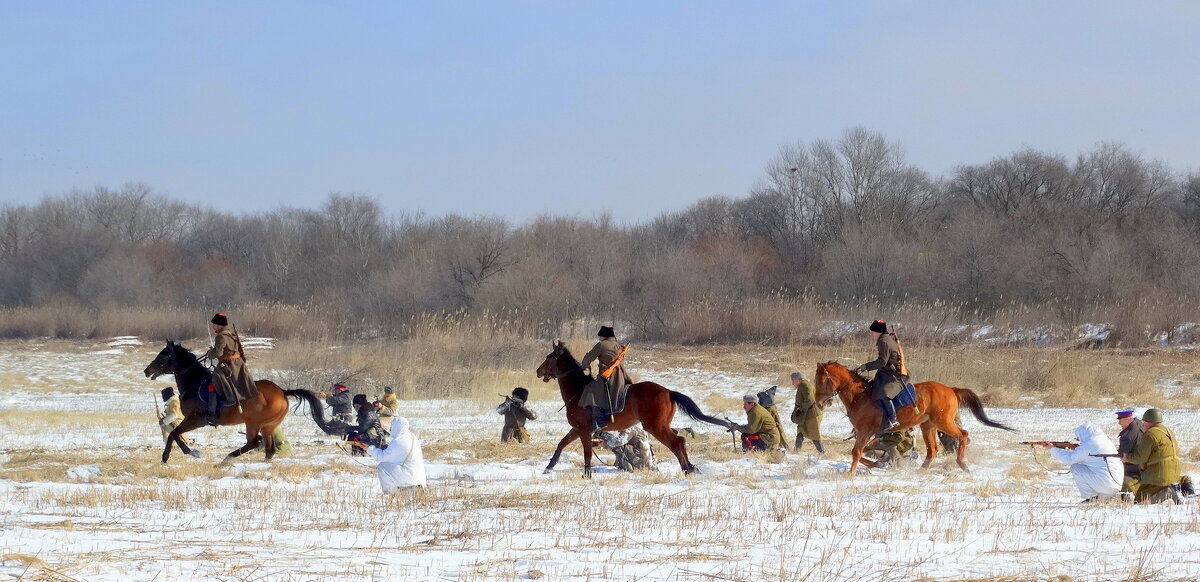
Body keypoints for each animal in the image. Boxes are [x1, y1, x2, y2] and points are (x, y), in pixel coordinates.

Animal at [146, 340, 343, 463]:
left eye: (164, 355)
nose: (146, 371)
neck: (194, 383)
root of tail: (282, 391)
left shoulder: (196, 420)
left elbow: (174, 434)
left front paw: (179, 454)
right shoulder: (191, 420)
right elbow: (175, 434)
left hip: (253, 423)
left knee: (254, 443)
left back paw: (227, 458)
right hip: (269, 426)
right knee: (269, 448)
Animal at [537, 340, 729, 477]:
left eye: (548, 358)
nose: (538, 371)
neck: (578, 390)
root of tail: (668, 392)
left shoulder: (583, 430)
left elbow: (587, 453)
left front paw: (587, 475)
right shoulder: (577, 429)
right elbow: (562, 443)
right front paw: (548, 467)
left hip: (655, 427)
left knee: (677, 442)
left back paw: (687, 469)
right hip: (662, 426)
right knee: (679, 440)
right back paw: (690, 467)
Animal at [811, 362, 1017, 477]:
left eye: (821, 380)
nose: (820, 402)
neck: (859, 396)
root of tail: (951, 389)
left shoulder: (864, 431)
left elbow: (856, 452)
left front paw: (851, 473)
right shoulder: (869, 434)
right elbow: (861, 453)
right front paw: (877, 464)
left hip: (943, 423)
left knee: (963, 435)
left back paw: (963, 464)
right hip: (928, 426)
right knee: (933, 450)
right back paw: (921, 470)